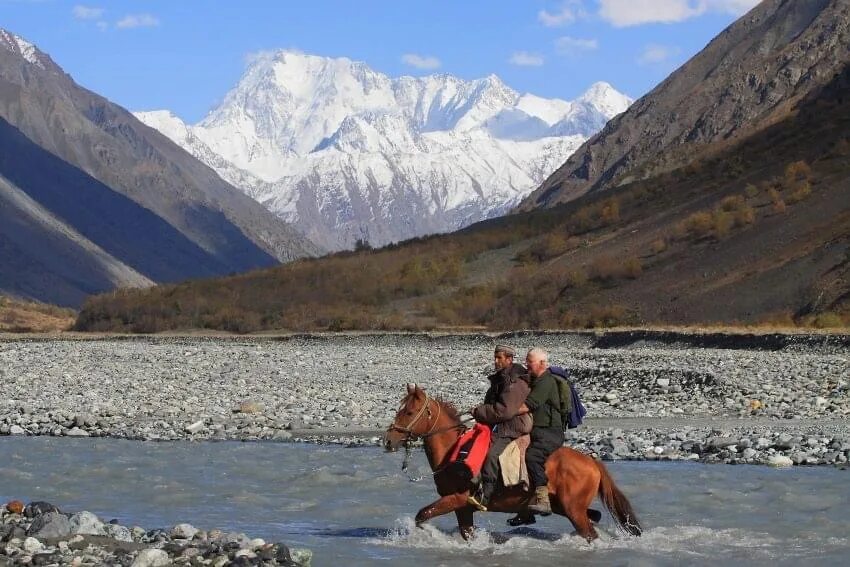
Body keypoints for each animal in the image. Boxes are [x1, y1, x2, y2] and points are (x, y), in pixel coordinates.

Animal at [380, 384, 640, 544]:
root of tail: (592, 461)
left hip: (573, 509)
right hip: (563, 506)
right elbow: (465, 533)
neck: (454, 450)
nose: (388, 440)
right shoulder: (463, 508)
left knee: (590, 532)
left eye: (409, 412)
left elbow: (422, 514)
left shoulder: (457, 499)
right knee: (594, 517)